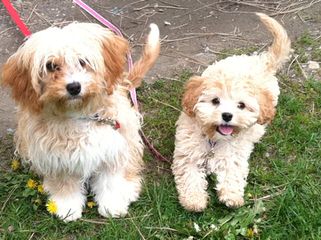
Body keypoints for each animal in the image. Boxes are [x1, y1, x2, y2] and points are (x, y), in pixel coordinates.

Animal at [0, 22, 159, 221]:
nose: (74, 87)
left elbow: (111, 179)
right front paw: (66, 206)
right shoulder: (57, 158)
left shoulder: (113, 147)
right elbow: (65, 184)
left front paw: (113, 203)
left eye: (83, 61)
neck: (80, 115)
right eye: (51, 66)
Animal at [172, 13, 290, 212]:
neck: (214, 139)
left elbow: (233, 173)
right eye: (215, 101)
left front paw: (232, 196)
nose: (227, 115)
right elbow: (190, 175)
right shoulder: (188, 153)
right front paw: (194, 200)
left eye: (241, 105)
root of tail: (261, 62)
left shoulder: (235, 155)